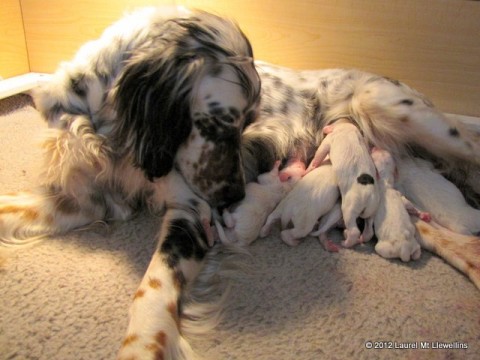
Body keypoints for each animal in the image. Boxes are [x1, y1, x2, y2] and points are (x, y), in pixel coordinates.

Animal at [0, 5, 480, 360]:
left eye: (246, 123)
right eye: (221, 125)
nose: (234, 196)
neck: (112, 134)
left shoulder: (190, 211)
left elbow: (150, 292)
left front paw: (144, 346)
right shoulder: (90, 199)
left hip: (395, 110)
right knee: (427, 228)